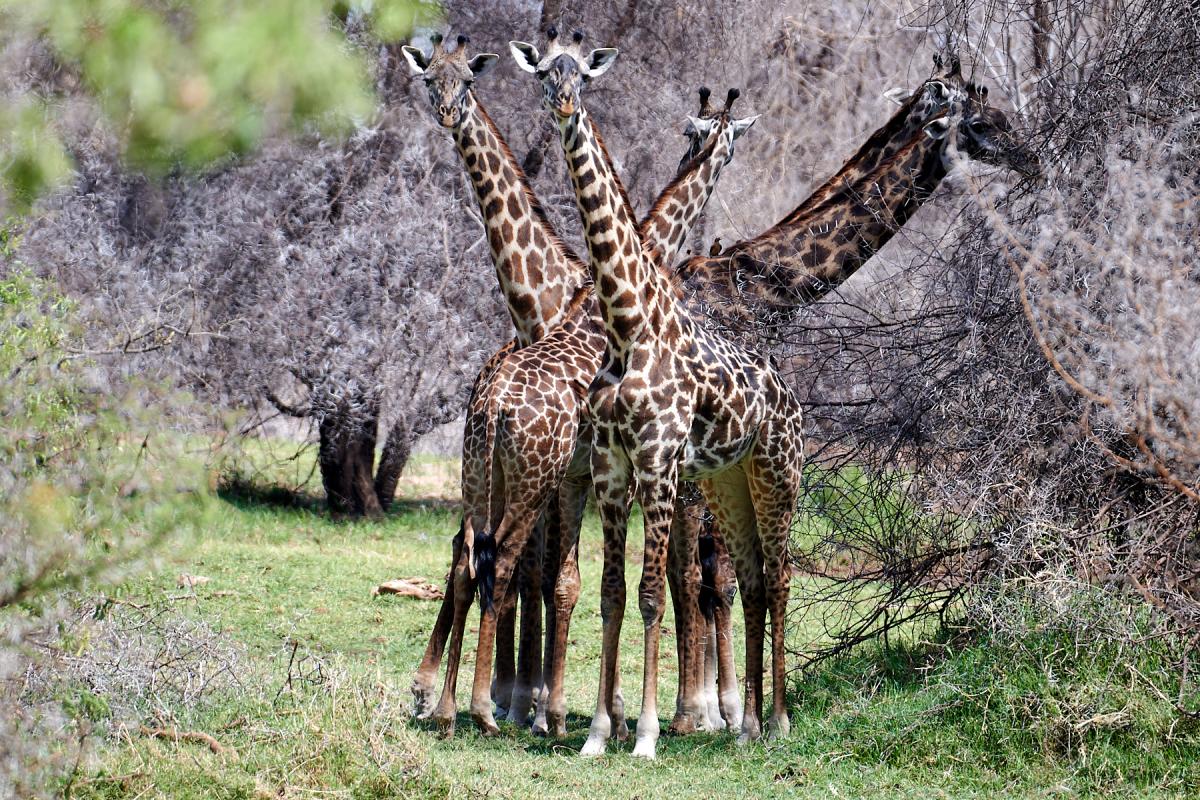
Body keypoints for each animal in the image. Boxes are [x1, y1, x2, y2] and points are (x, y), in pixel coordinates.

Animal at [405, 35, 758, 738]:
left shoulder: (581, 475)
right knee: (498, 561)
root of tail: (489, 398)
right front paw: (573, 709)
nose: (447, 113)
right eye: (432, 79)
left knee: (472, 557)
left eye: (465, 82)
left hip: (482, 473)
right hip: (526, 476)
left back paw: (452, 701)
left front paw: (573, 707)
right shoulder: (590, 471)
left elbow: (562, 579)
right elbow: (565, 578)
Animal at [513, 31, 806, 758]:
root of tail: (791, 396)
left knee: (778, 577)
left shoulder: (657, 463)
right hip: (729, 484)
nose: (563, 105)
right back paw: (746, 726)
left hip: (777, 476)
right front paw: (597, 733)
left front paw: (644, 733)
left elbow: (650, 593)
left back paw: (777, 720)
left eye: (583, 75)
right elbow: (613, 593)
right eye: (544, 71)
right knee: (750, 580)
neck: (627, 319)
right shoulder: (613, 466)